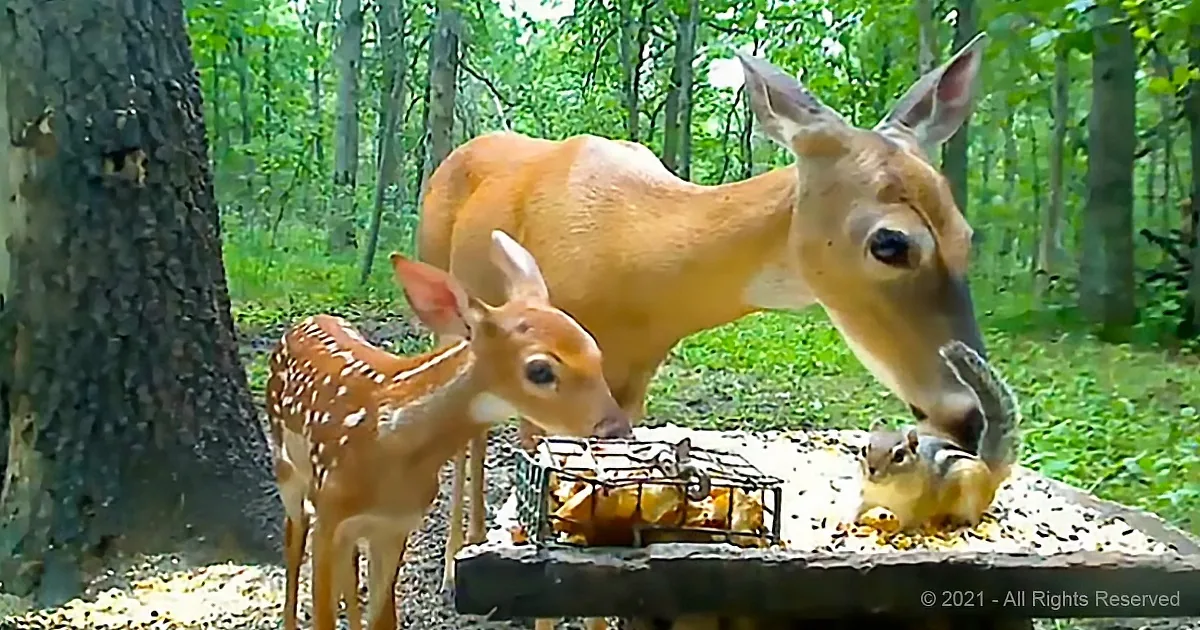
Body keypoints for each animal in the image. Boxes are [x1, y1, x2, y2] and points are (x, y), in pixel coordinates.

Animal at [265, 230, 633, 630]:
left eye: (595, 351)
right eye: (539, 370)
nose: (617, 430)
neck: (387, 440)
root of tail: (301, 323)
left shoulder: (395, 525)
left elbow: (383, 616)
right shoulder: (330, 515)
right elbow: (323, 613)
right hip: (287, 468)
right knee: (292, 537)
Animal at [419, 32, 992, 629]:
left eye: (966, 234)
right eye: (890, 242)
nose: (971, 418)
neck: (633, 257)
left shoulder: (630, 385)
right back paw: (454, 566)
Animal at [854, 340, 1021, 531]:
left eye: (899, 456)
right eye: (864, 450)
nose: (872, 469)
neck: (885, 489)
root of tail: (989, 473)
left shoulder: (914, 509)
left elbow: (906, 526)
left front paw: (893, 533)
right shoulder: (867, 496)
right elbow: (858, 508)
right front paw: (848, 521)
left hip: (970, 489)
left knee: (974, 520)